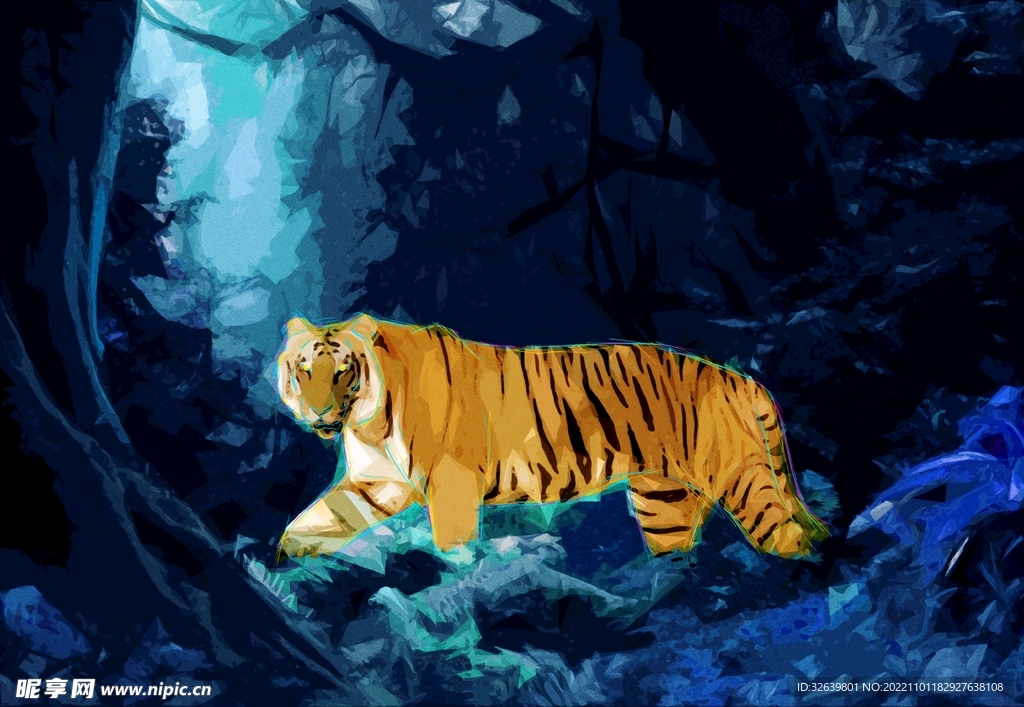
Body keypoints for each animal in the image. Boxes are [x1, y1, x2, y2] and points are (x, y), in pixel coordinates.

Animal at [275, 314, 829, 561]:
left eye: (342, 371)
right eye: (303, 370)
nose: (318, 411)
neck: (366, 423)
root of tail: (738, 377)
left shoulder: (450, 486)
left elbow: (454, 547)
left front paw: (459, 578)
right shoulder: (376, 483)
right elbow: (319, 518)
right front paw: (282, 561)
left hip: (743, 481)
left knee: (788, 537)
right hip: (664, 502)